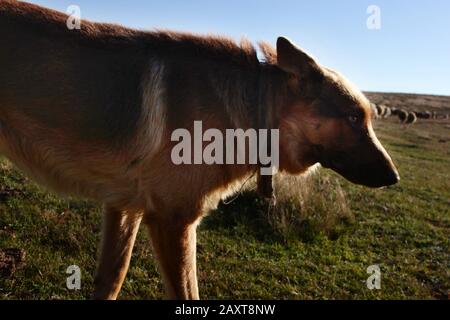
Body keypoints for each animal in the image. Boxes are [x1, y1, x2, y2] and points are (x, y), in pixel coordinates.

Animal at [0, 0, 400, 300]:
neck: (255, 110)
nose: (394, 178)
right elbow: (187, 293)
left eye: (367, 117)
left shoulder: (124, 208)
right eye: (353, 117)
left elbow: (110, 282)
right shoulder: (173, 221)